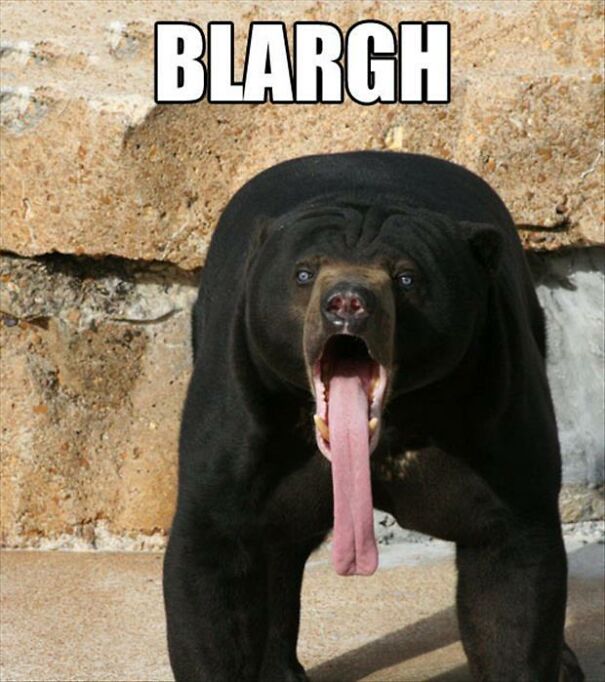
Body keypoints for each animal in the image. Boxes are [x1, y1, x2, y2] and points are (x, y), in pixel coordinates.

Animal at [163, 151, 584, 681]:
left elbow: (512, 582)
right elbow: (212, 567)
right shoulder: (241, 419)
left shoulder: (496, 408)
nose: (347, 303)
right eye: (304, 273)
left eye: (406, 277)